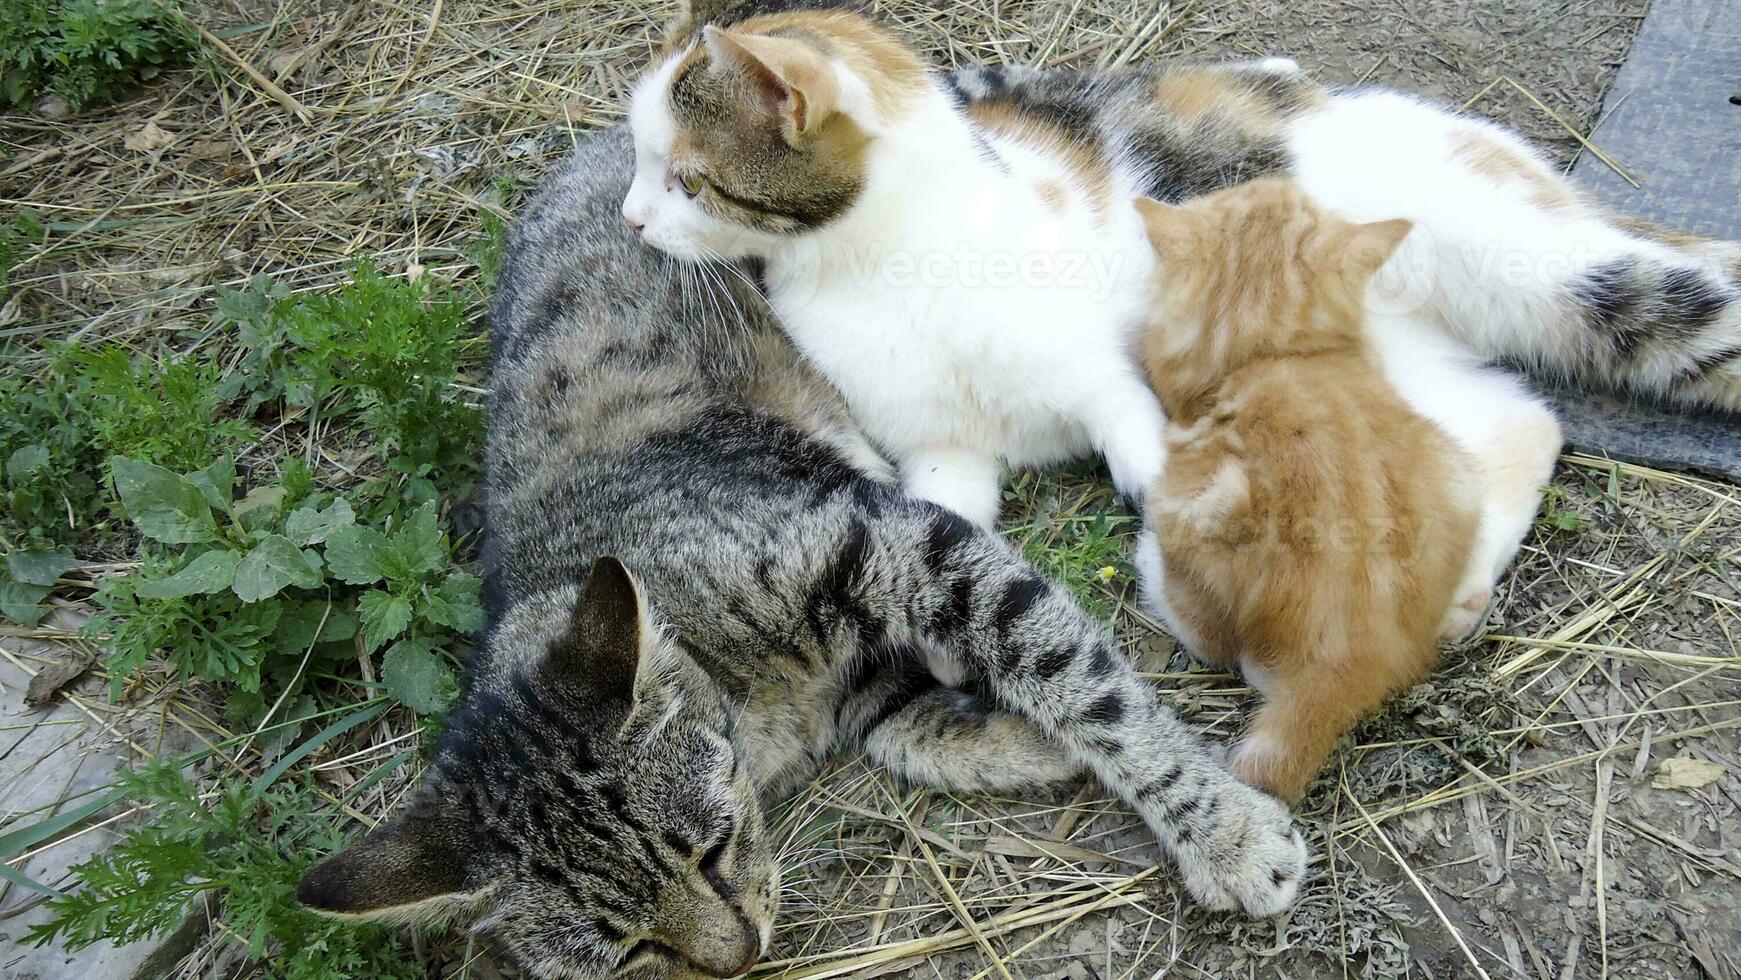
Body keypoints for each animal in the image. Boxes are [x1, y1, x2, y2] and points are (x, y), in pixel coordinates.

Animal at [295, 122, 1309, 980]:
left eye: (706, 852)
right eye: (629, 951)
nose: (740, 955)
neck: (754, 708)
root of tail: (594, 145)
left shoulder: (890, 541)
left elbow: (1080, 681)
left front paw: (1221, 829)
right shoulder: (871, 640)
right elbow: (917, 729)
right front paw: (1024, 746)